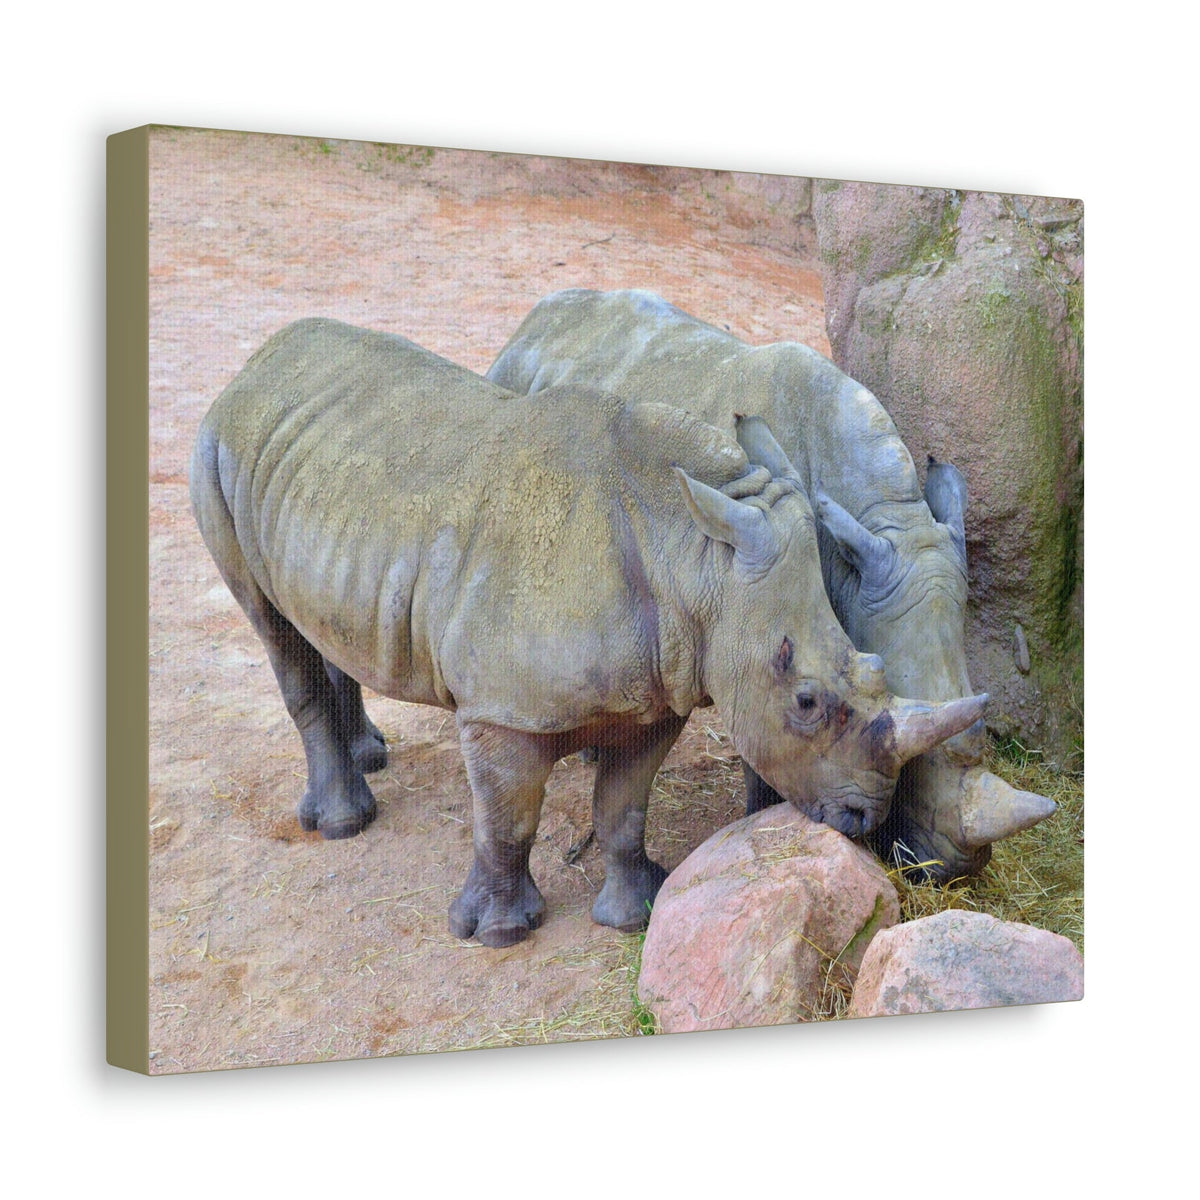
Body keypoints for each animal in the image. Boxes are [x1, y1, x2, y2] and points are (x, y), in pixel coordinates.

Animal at [190, 318, 989, 946]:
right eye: (806, 702)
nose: (862, 814)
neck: (694, 558)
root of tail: (259, 359)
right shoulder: (501, 709)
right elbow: (508, 817)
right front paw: (499, 934)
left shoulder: (663, 687)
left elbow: (623, 808)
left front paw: (635, 913)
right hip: (216, 446)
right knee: (270, 625)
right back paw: (344, 824)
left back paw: (370, 757)